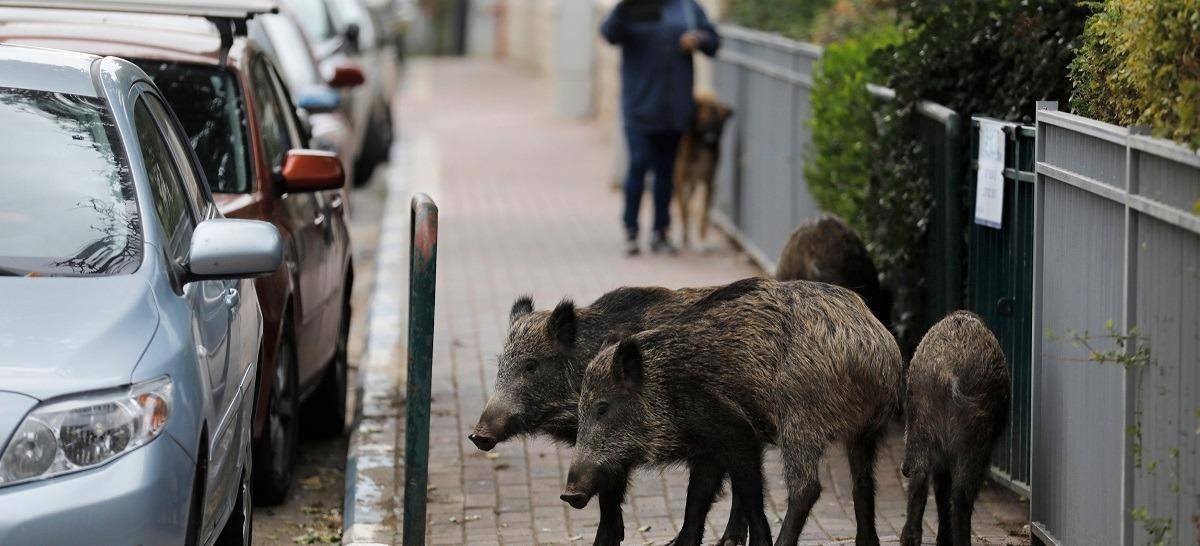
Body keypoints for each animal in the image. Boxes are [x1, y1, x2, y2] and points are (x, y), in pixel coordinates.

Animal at [676, 94, 729, 248]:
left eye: (719, 125)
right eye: (703, 121)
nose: (710, 141)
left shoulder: (709, 183)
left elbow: (705, 214)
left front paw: (701, 240)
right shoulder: (680, 180)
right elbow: (684, 209)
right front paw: (684, 237)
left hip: (694, 184)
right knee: (682, 205)